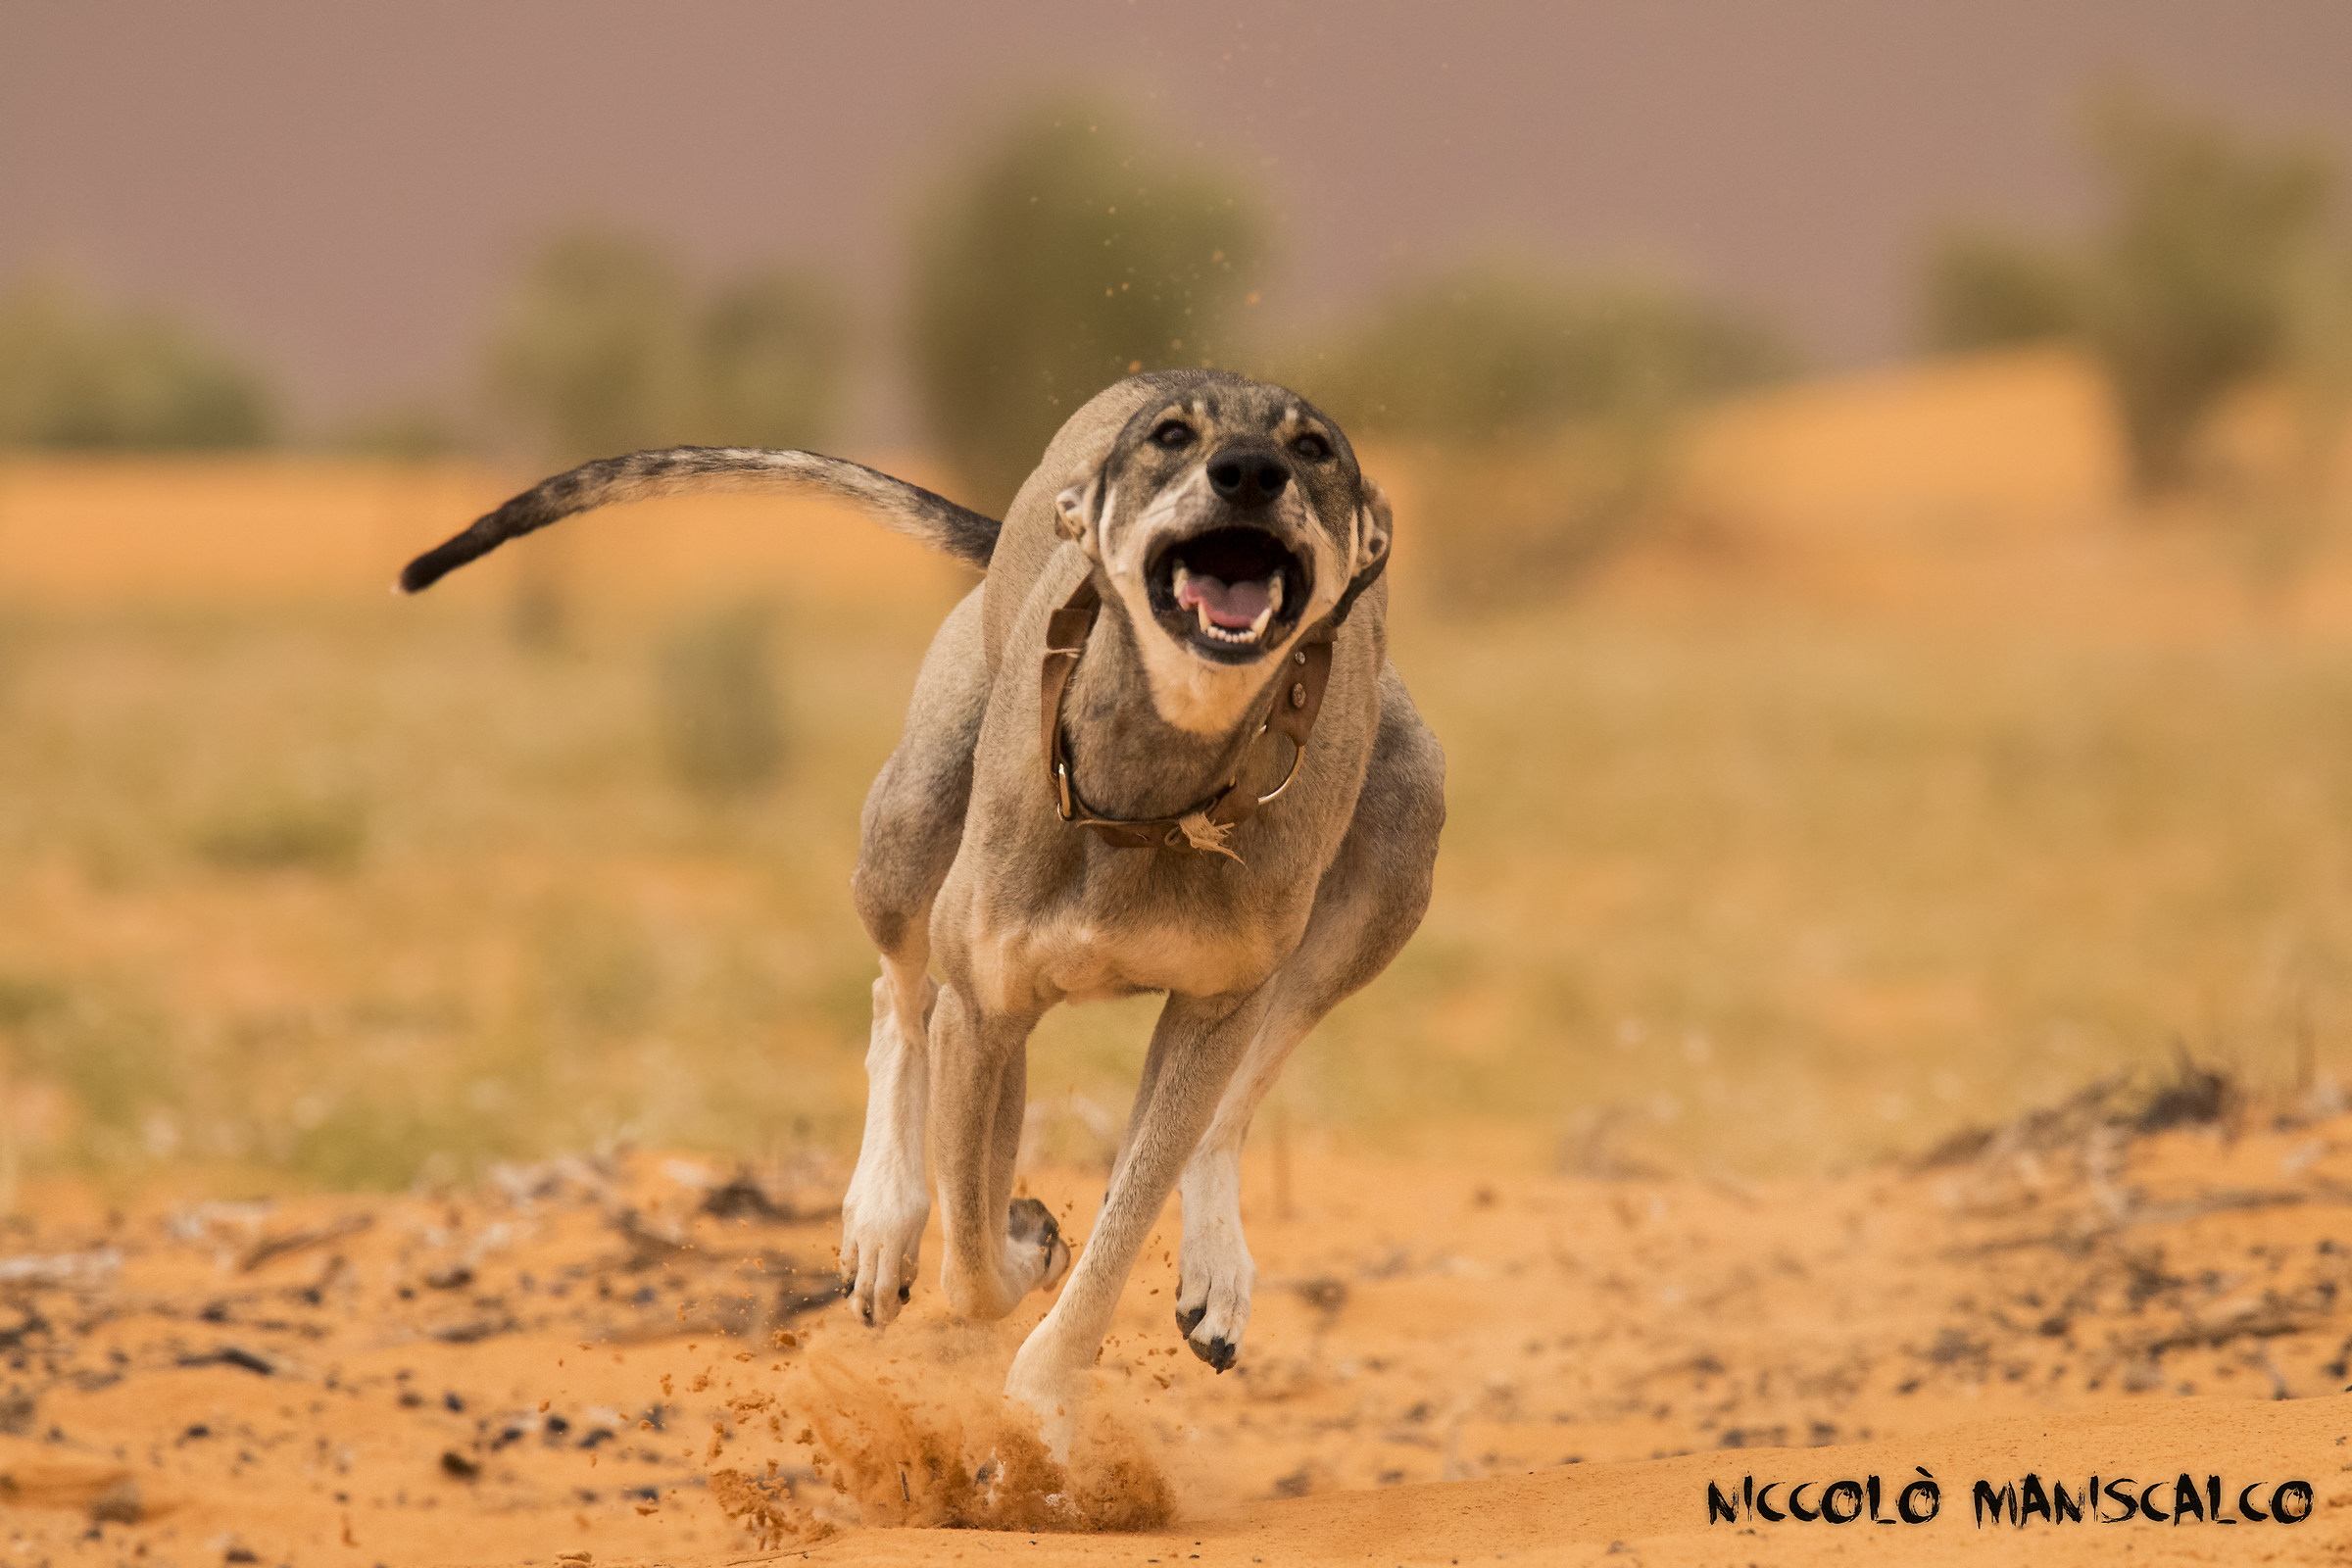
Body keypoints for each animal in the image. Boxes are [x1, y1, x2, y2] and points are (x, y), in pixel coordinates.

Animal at [397, 368, 1439, 1447]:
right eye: (1171, 437)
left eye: (1314, 449)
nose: (1250, 474)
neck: (1159, 787)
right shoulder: (988, 1011)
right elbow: (973, 1252)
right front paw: (1016, 1248)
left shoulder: (1211, 1010)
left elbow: (1127, 1213)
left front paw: (1046, 1400)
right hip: (911, 821)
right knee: (901, 999)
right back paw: (882, 1220)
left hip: (1397, 851)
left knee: (1232, 1101)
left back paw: (1215, 1271)